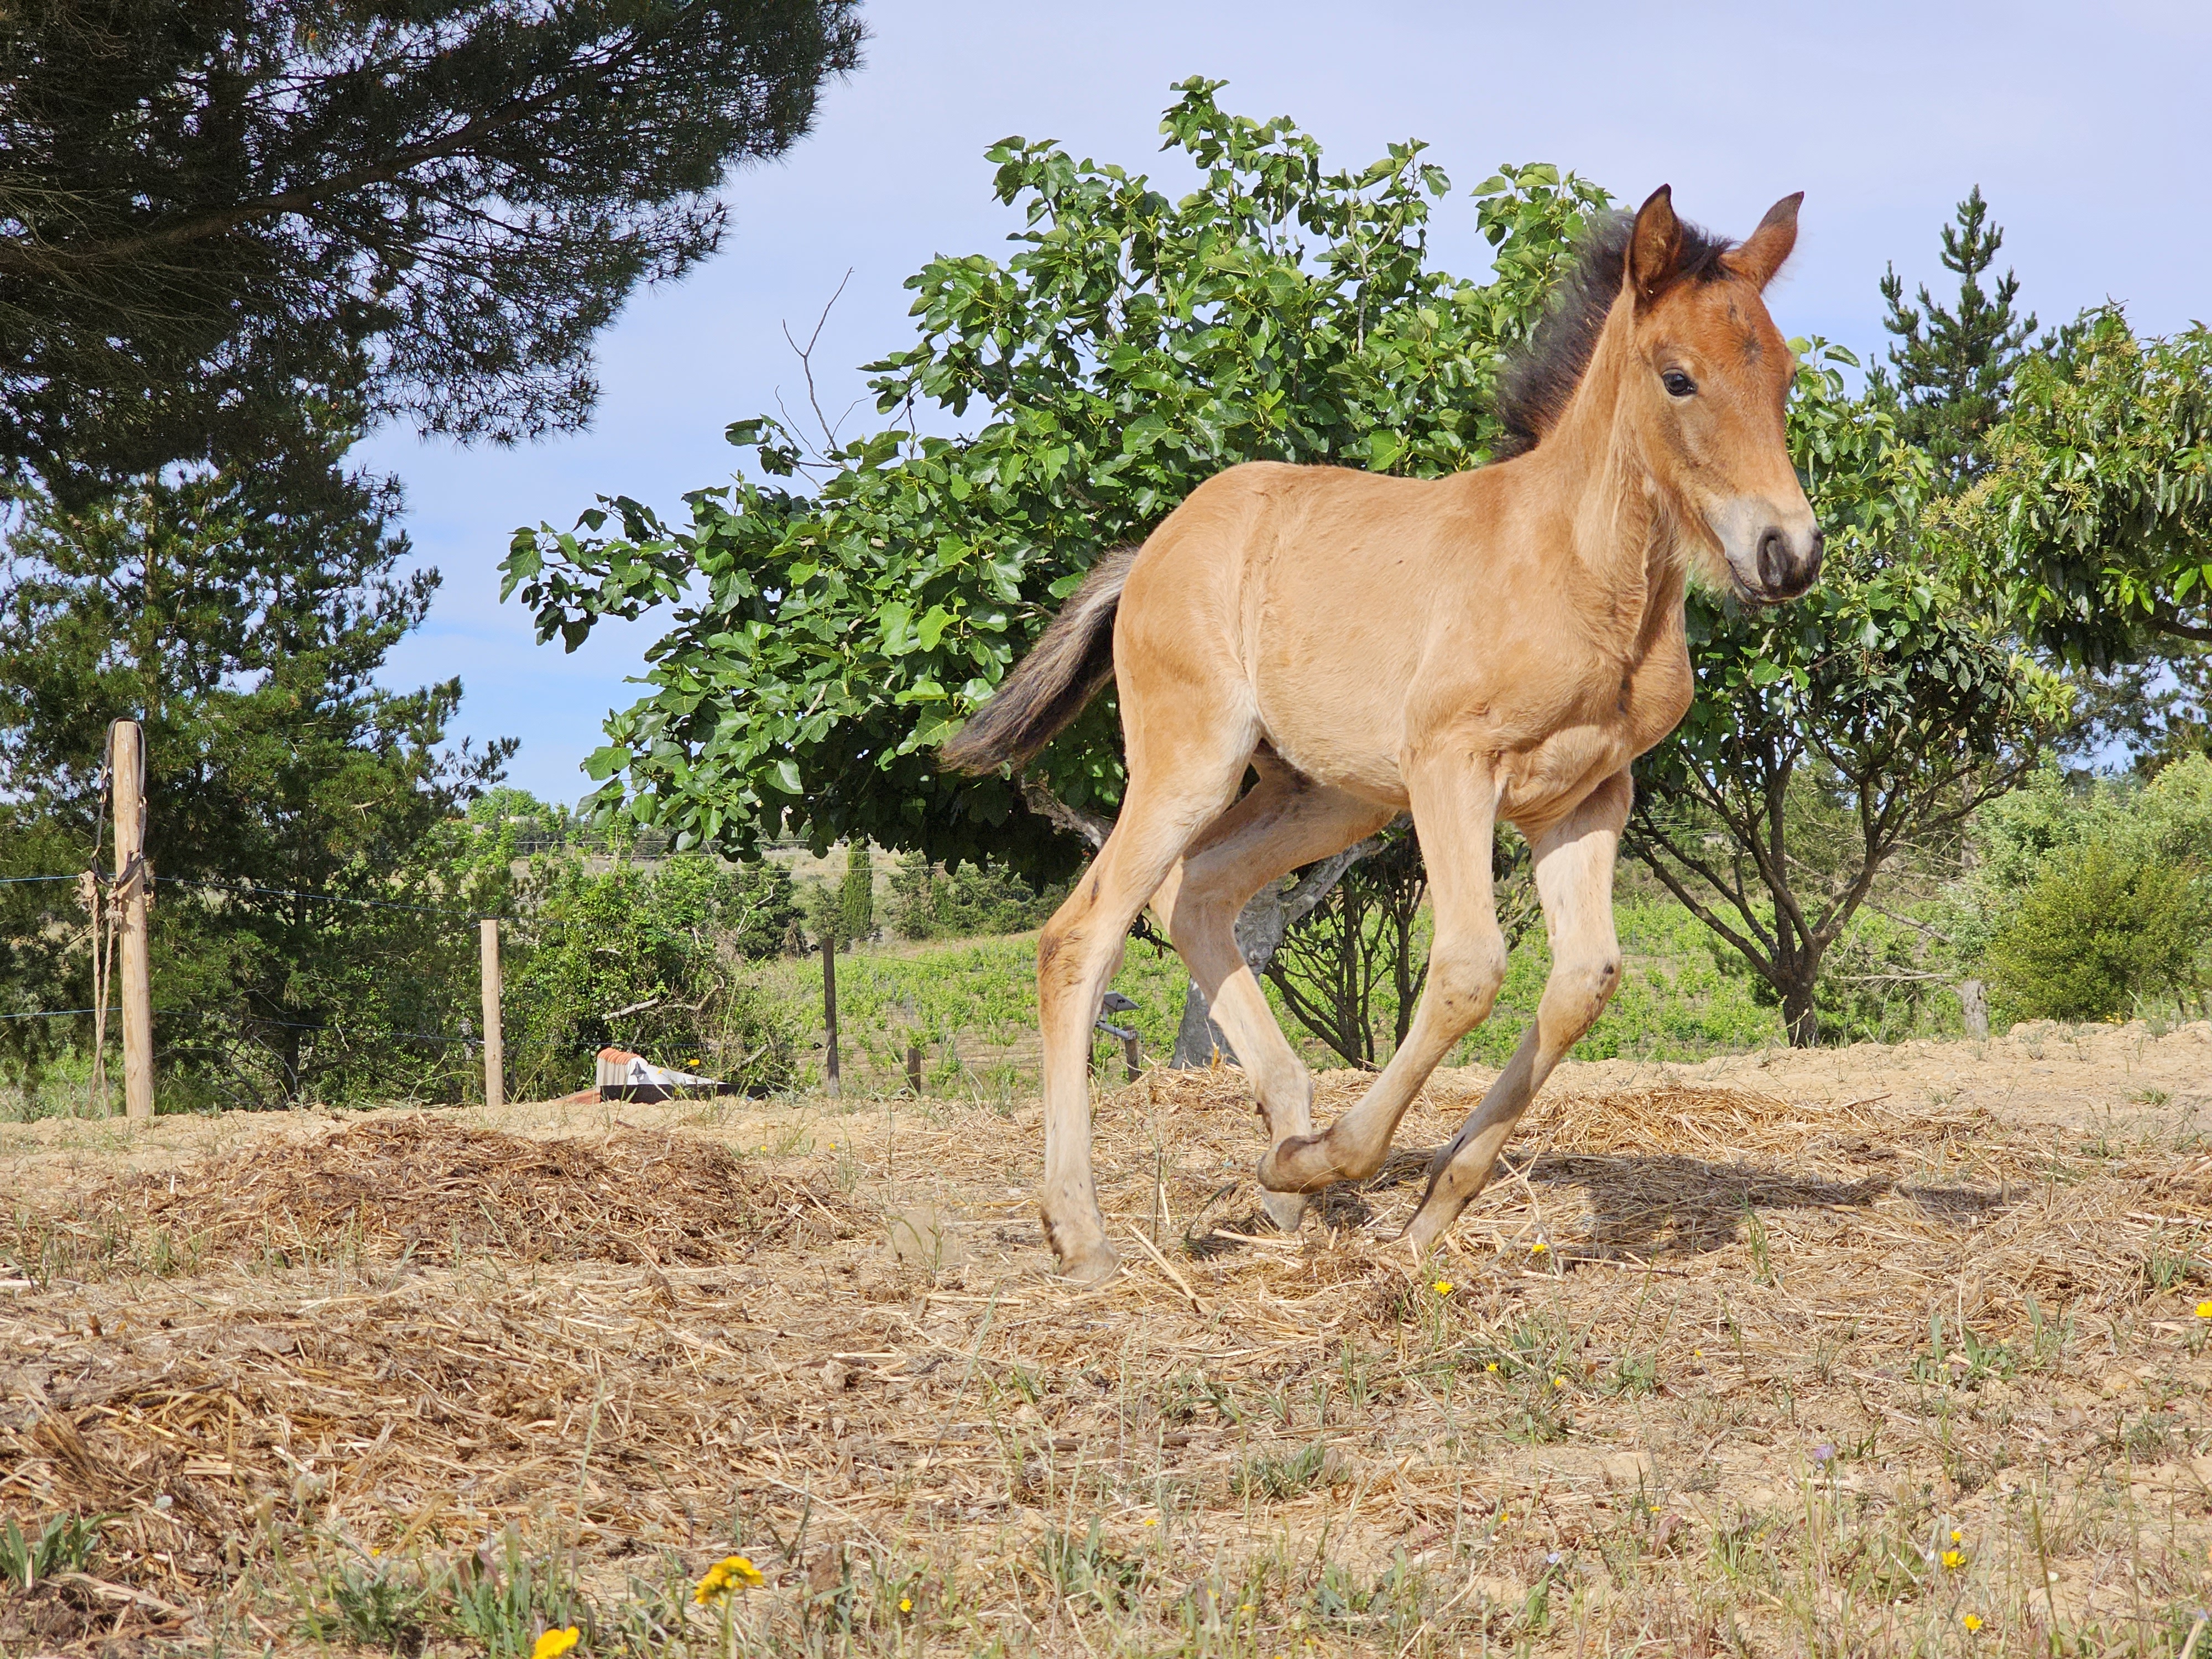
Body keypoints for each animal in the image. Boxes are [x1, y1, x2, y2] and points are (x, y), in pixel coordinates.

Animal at [942, 186, 1821, 1283]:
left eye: (1785, 376)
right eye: (1678, 378)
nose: (1789, 553)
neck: (1583, 572)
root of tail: (1147, 550)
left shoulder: (1586, 800)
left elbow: (1581, 985)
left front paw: (1427, 1202)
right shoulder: (1450, 765)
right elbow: (1470, 970)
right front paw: (1345, 1162)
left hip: (1325, 794)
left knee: (1197, 897)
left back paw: (1285, 1160)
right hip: (1193, 764)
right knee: (1081, 934)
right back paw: (1088, 1232)